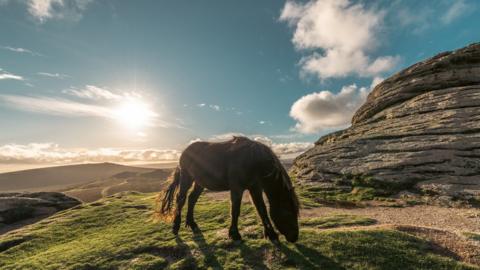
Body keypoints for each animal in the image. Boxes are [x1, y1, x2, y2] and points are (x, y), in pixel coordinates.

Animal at [158, 137, 300, 243]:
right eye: (288, 212)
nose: (295, 237)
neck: (252, 160)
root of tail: (185, 151)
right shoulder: (237, 188)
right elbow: (235, 210)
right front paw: (234, 234)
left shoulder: (255, 188)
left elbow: (262, 210)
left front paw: (271, 234)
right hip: (186, 177)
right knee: (180, 199)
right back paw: (175, 227)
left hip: (200, 182)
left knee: (192, 199)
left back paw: (192, 224)